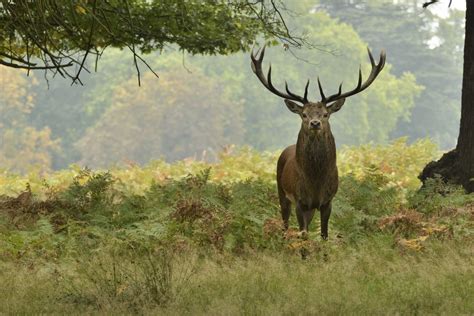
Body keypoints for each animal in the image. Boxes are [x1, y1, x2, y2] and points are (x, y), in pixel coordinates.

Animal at [248, 47, 386, 239]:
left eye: (325, 114)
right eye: (304, 114)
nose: (315, 123)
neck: (315, 181)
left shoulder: (328, 201)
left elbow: (324, 235)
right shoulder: (299, 201)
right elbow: (303, 234)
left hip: (310, 207)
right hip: (282, 192)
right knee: (285, 224)